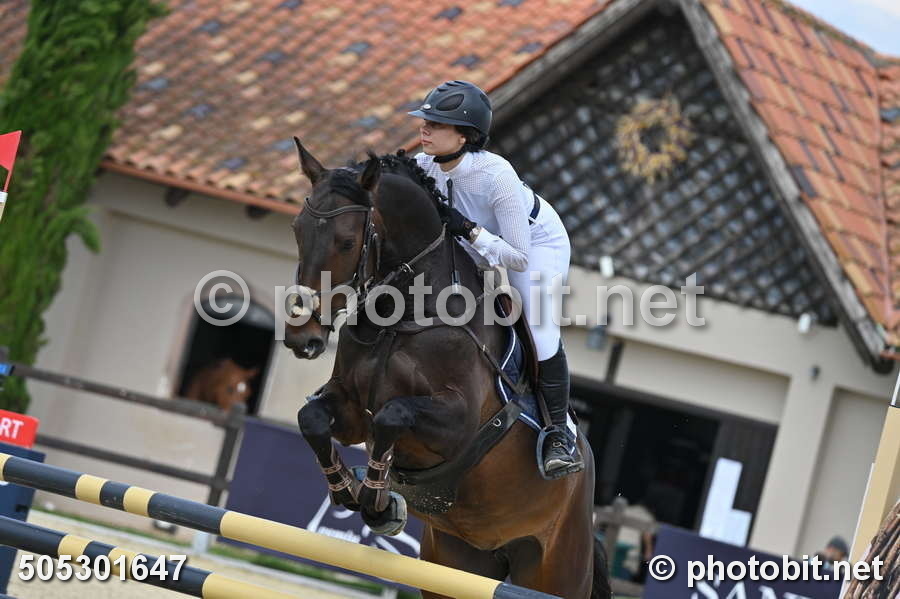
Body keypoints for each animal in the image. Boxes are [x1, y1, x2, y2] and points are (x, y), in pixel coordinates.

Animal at [283, 139, 610, 599]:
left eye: (346, 242)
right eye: (298, 230)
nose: (302, 337)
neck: (404, 312)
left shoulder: (457, 424)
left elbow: (393, 413)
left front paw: (377, 500)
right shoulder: (349, 410)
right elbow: (311, 417)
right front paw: (349, 488)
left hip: (556, 568)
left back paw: (559, 451)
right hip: (458, 561)